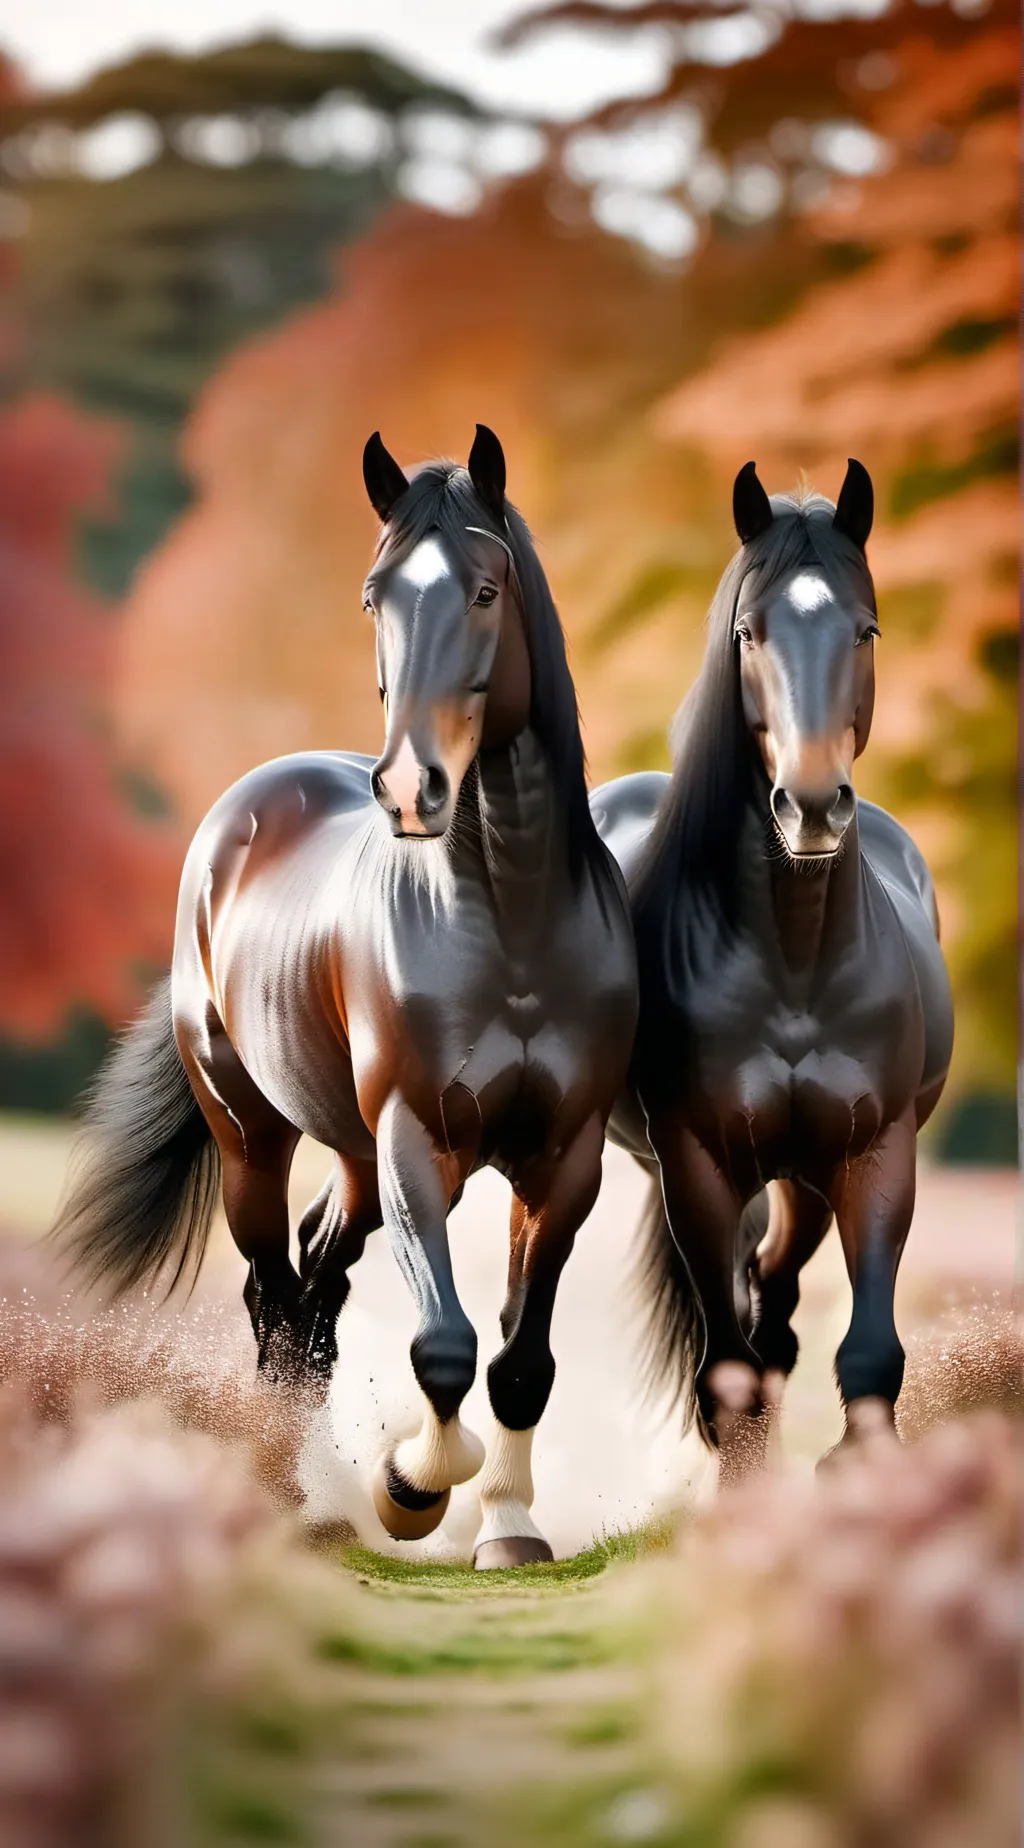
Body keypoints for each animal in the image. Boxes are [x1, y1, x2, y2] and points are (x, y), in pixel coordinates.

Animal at [60, 426, 638, 1565]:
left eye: (486, 589)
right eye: (377, 595)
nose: (410, 789)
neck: (510, 923)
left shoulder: (565, 1158)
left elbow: (519, 1360)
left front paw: (508, 1528)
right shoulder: (418, 1139)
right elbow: (445, 1344)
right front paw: (408, 1488)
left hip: (359, 1159)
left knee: (319, 1289)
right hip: (254, 1136)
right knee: (274, 1296)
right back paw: (300, 1491)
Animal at [592, 459, 953, 1475]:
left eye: (865, 629)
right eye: (749, 633)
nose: (814, 805)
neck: (795, 964)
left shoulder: (875, 1156)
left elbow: (863, 1354)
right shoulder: (700, 1167)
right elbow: (729, 1375)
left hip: (802, 1180)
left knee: (778, 1309)